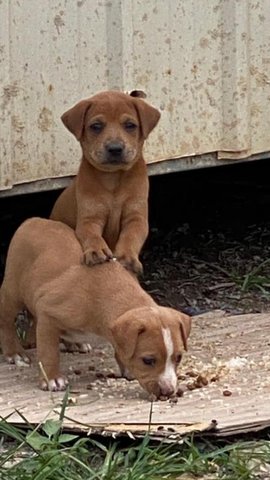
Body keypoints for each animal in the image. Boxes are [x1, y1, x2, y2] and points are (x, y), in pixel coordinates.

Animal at [0, 218, 191, 398]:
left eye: (179, 357)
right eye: (148, 360)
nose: (168, 391)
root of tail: (32, 220)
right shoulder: (48, 314)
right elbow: (49, 352)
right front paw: (52, 378)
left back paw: (75, 343)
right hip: (12, 292)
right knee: (6, 321)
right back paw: (15, 353)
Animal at [50, 90, 160, 276]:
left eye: (130, 125)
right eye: (96, 126)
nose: (115, 148)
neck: (113, 179)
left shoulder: (136, 217)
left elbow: (130, 236)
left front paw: (127, 257)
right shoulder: (89, 218)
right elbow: (91, 235)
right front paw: (96, 251)